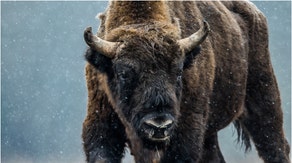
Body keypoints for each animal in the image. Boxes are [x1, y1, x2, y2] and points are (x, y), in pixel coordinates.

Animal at [81, 1, 290, 163]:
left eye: (179, 71)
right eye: (124, 73)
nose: (159, 125)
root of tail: (256, 15)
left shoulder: (187, 130)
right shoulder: (101, 124)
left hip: (264, 100)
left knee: (275, 145)